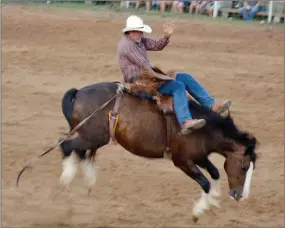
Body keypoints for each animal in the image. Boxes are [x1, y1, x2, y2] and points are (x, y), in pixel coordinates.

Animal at [16, 67, 258, 223]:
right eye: (244, 166)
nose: (241, 196)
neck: (204, 128)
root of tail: (78, 92)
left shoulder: (199, 156)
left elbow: (215, 173)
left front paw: (213, 202)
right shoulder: (182, 161)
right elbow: (205, 182)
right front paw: (198, 211)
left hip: (93, 136)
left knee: (78, 151)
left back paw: (89, 179)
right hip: (91, 136)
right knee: (66, 146)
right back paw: (67, 178)